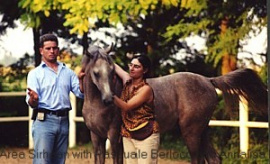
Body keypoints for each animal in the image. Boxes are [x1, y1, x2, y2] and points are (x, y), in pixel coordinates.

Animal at [81, 44, 266, 164]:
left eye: (112, 71)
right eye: (96, 73)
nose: (108, 99)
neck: (95, 104)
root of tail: (208, 80)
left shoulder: (113, 136)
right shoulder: (96, 137)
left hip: (191, 132)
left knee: (197, 159)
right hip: (203, 130)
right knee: (214, 159)